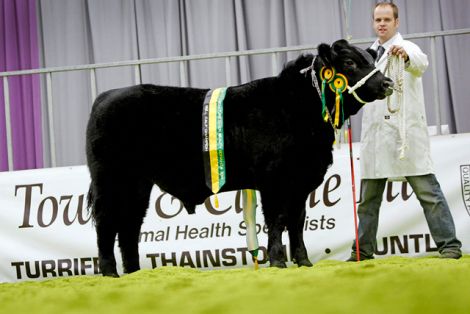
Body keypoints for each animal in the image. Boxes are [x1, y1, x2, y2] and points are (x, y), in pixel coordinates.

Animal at [85, 39, 392, 278]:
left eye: (370, 59)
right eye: (350, 62)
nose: (387, 83)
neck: (297, 107)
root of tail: (105, 97)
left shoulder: (300, 182)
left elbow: (297, 222)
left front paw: (304, 262)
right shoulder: (274, 181)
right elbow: (278, 220)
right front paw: (278, 262)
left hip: (137, 184)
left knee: (129, 224)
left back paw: (134, 273)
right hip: (109, 179)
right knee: (106, 222)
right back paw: (109, 273)